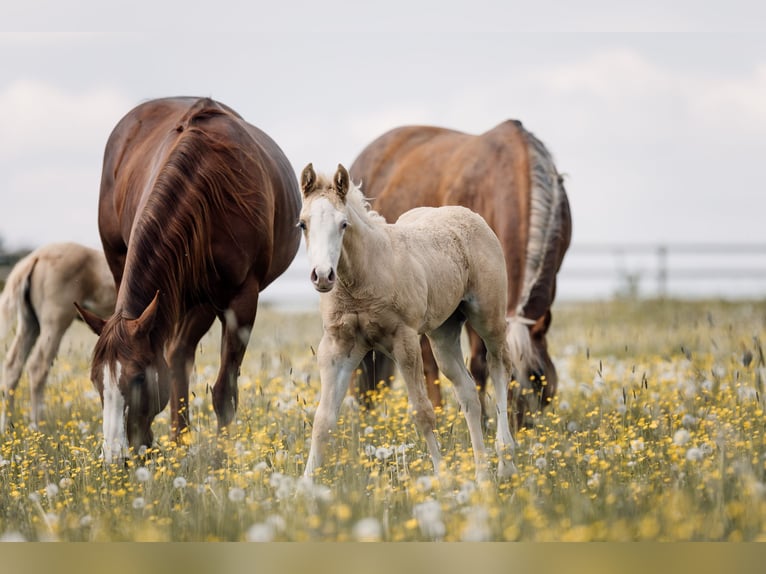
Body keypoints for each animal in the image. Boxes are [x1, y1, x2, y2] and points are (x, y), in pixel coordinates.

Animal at [0, 242, 116, 432]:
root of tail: (34, 258)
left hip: (30, 323)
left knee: (13, 365)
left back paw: (8, 428)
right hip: (55, 323)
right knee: (38, 366)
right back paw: (38, 427)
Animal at [74, 97, 302, 462]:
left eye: (139, 379)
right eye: (96, 380)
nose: (115, 457)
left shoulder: (241, 300)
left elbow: (224, 391)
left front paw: (224, 459)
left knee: (180, 355)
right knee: (177, 357)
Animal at [298, 163, 517, 480]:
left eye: (343, 224)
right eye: (303, 224)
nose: (323, 275)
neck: (363, 277)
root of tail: (472, 216)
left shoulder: (405, 341)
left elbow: (422, 412)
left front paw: (442, 477)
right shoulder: (337, 346)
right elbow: (323, 420)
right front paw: (303, 485)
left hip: (488, 317)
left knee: (500, 366)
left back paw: (505, 460)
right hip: (443, 333)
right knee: (467, 393)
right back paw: (481, 475)